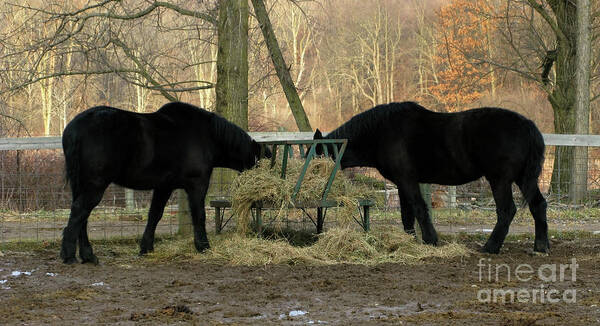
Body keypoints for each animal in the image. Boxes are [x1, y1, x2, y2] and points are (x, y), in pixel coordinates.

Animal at [61, 102, 268, 264]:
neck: (205, 135)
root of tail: (75, 129)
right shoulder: (197, 185)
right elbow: (199, 215)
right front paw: (203, 246)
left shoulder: (164, 187)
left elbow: (155, 215)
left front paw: (146, 248)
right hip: (95, 185)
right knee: (79, 212)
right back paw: (69, 256)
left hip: (81, 186)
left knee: (82, 217)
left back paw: (87, 256)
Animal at [314, 102, 548, 255]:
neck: (382, 132)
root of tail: (527, 125)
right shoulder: (402, 183)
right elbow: (406, 214)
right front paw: (409, 240)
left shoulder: (408, 180)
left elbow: (419, 208)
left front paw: (430, 240)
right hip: (523, 179)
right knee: (538, 205)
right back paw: (540, 246)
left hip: (499, 180)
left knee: (506, 211)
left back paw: (490, 247)